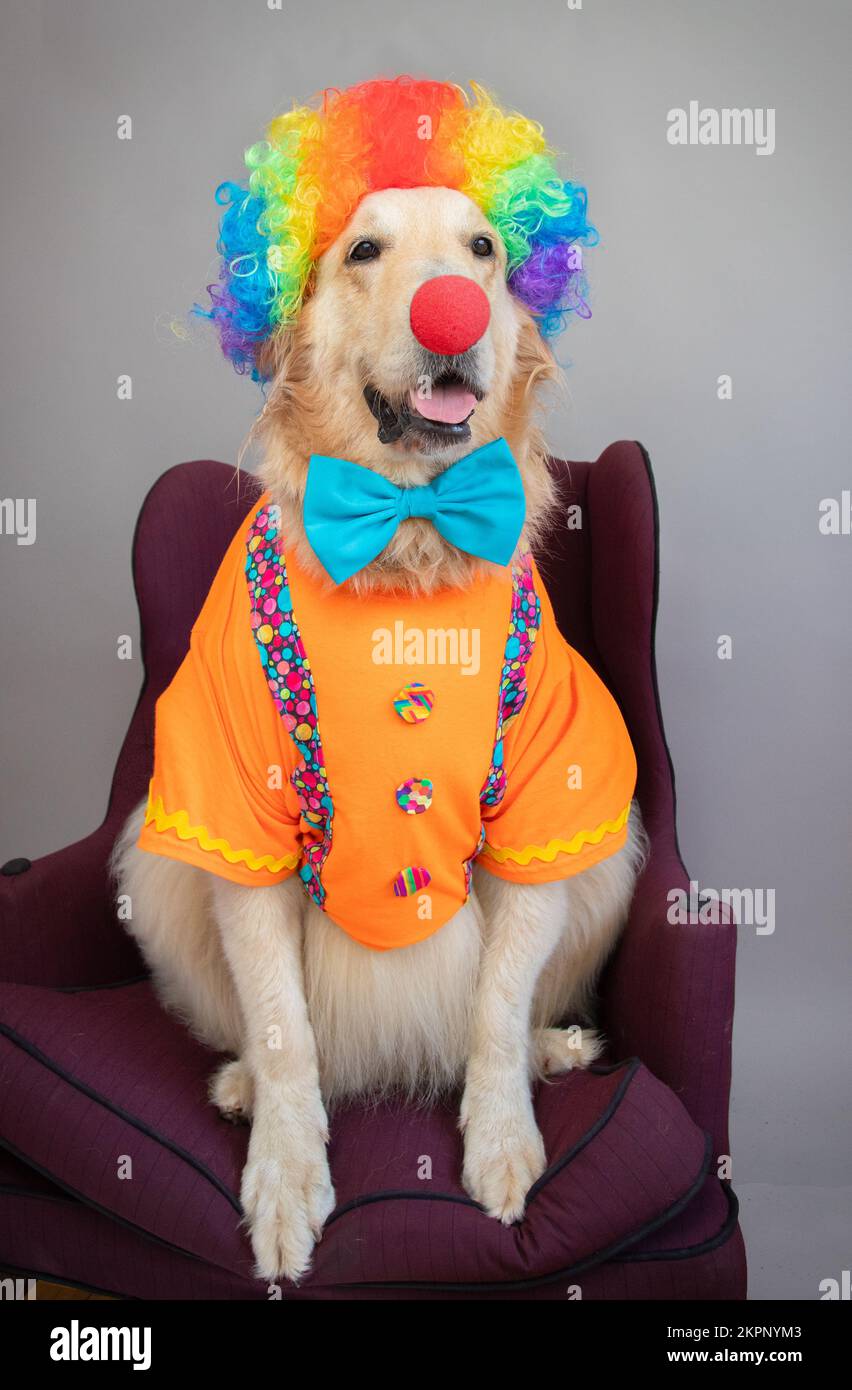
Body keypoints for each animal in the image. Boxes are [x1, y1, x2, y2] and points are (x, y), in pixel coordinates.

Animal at [111, 84, 644, 1278]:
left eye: (485, 250)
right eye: (363, 250)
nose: (454, 311)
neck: (407, 530)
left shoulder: (544, 807)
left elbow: (495, 1004)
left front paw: (502, 1135)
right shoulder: (238, 816)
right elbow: (281, 1029)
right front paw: (284, 1172)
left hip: (611, 859)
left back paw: (554, 1049)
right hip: (157, 871)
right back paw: (233, 1087)